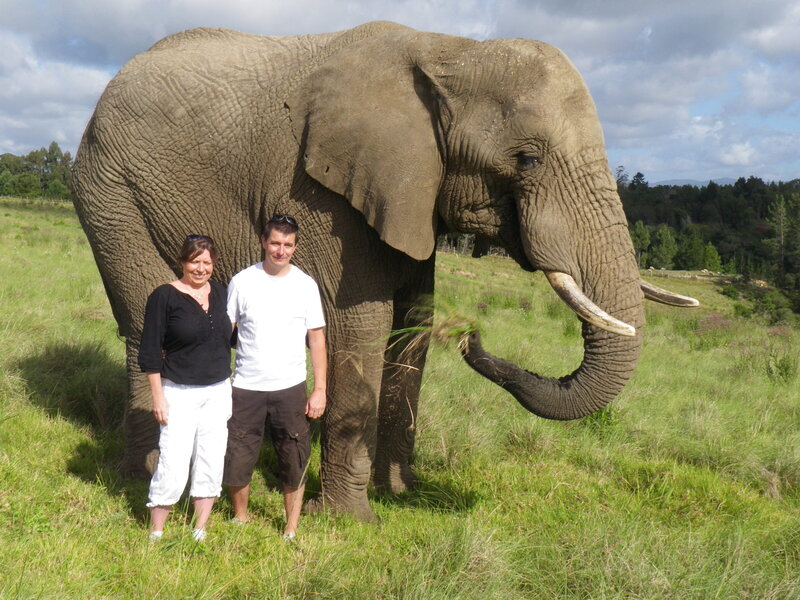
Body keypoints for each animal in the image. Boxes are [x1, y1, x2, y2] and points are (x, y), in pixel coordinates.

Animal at [72, 21, 696, 520]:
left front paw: (398, 494)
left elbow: (412, 325)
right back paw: (144, 474)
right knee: (143, 324)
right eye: (528, 159)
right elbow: (359, 327)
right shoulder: (319, 194)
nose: (471, 339)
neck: (451, 51)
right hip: (110, 193)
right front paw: (349, 520)